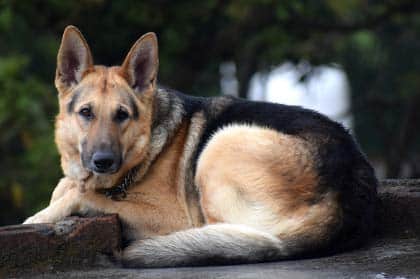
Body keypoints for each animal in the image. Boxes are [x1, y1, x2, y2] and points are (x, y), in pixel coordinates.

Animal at [23, 26, 378, 270]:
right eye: (86, 113)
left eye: (122, 115)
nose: (103, 161)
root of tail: (346, 196)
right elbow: (67, 186)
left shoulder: (171, 216)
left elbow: (82, 195)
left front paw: (40, 216)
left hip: (222, 143)